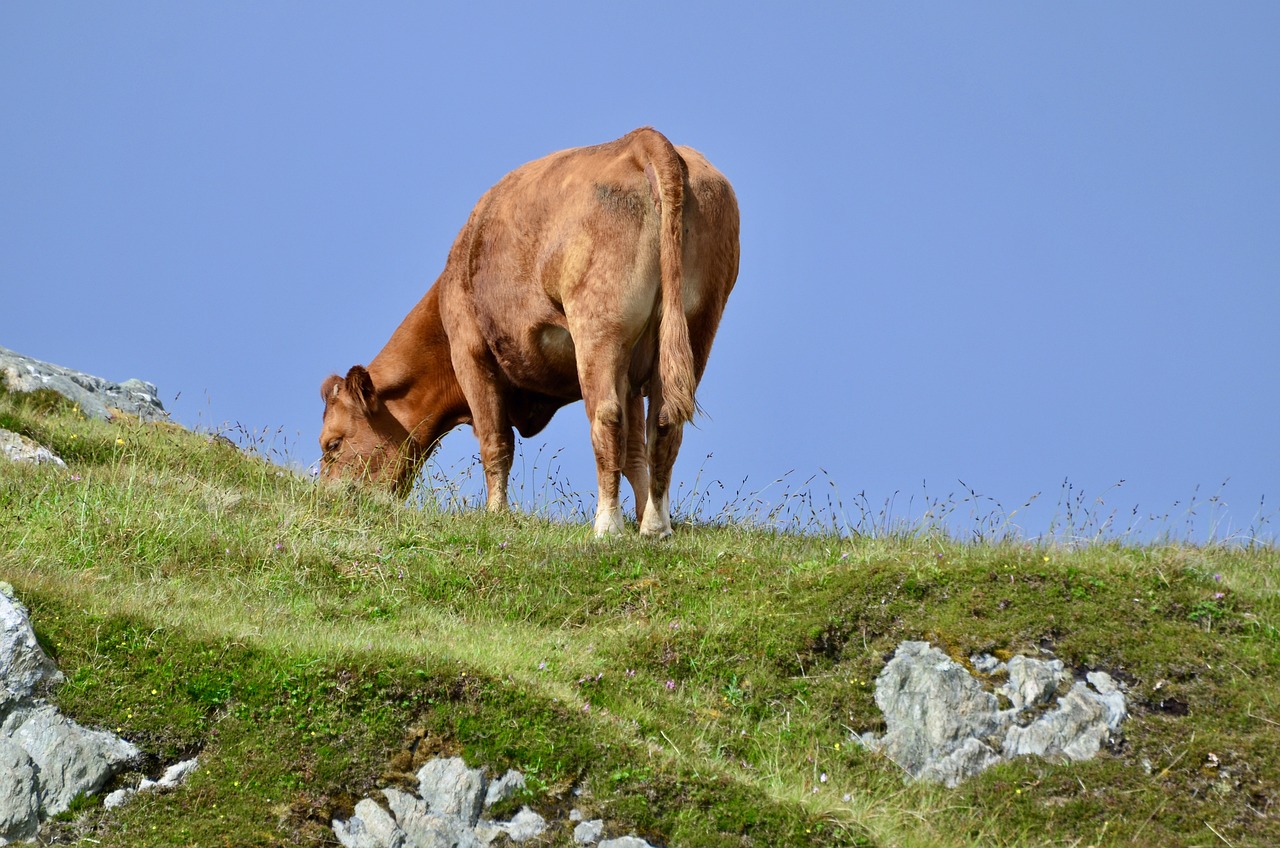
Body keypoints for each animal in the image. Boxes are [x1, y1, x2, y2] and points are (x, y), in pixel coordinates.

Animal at [319, 127, 739, 537]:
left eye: (332, 444)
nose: (327, 499)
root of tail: (644, 139)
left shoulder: (469, 352)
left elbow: (496, 443)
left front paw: (495, 515)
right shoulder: (633, 375)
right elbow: (634, 451)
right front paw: (640, 518)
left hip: (599, 324)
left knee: (606, 417)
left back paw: (606, 527)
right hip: (697, 323)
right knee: (665, 421)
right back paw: (656, 526)